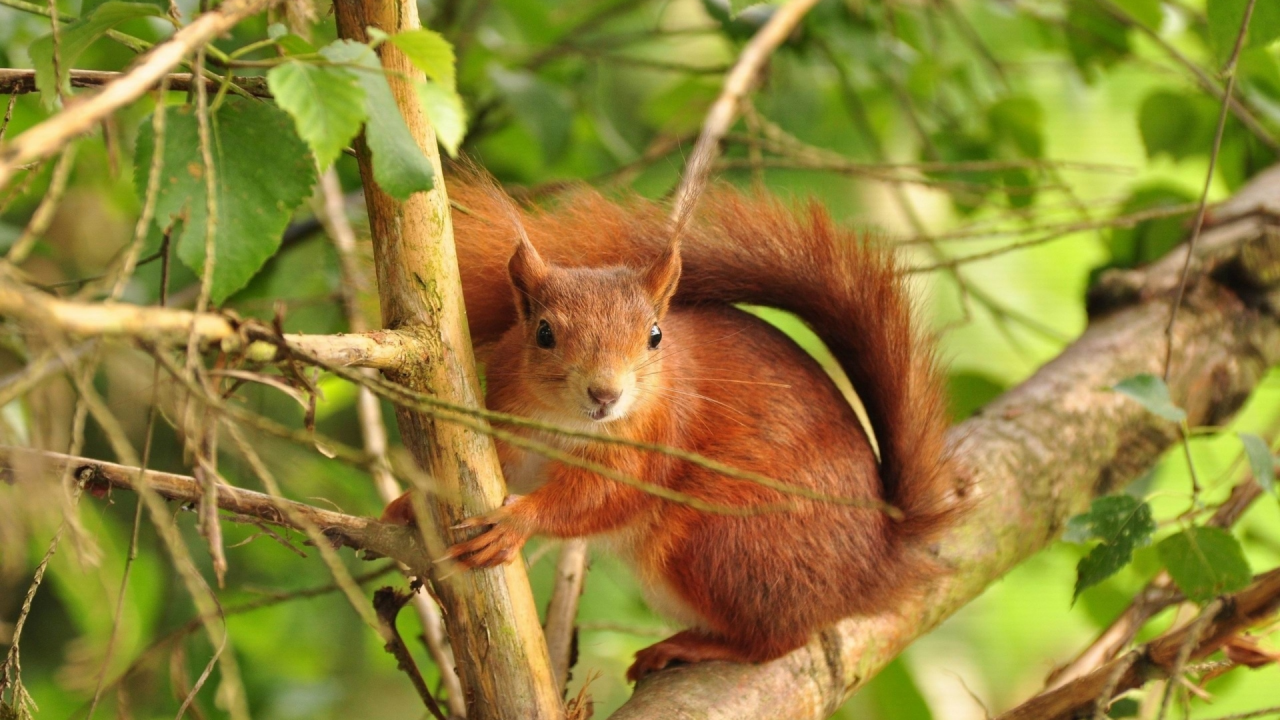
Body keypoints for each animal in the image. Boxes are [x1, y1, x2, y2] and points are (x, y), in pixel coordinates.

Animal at [384, 179, 957, 676]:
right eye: (543, 333)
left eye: (655, 336)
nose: (605, 395)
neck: (566, 422)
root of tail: (874, 568)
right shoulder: (512, 421)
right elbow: (497, 466)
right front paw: (413, 501)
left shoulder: (654, 440)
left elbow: (601, 497)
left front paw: (515, 523)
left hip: (718, 542)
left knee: (777, 641)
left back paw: (695, 646)